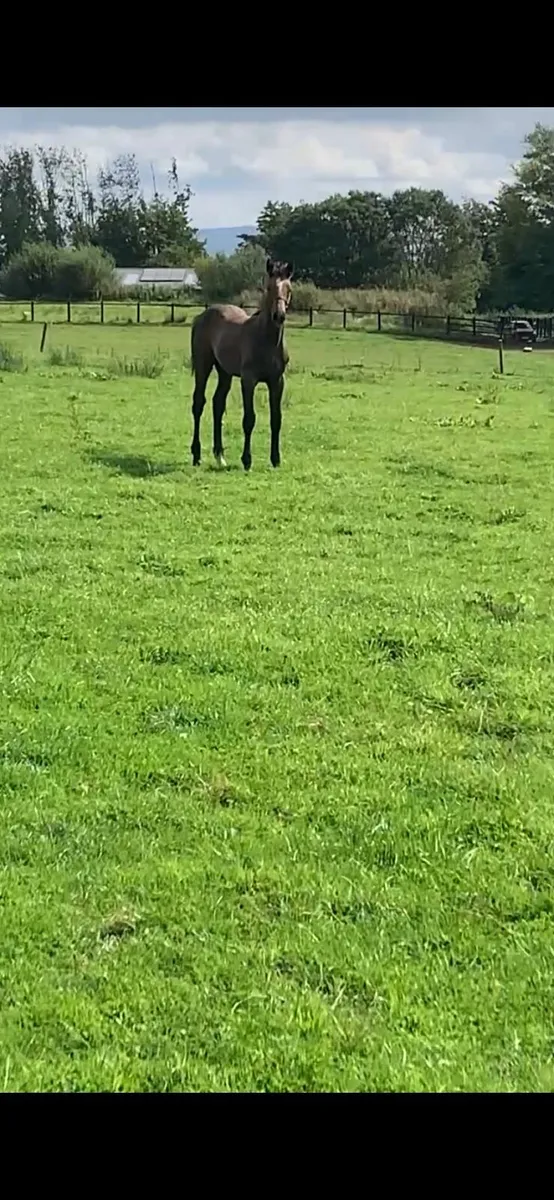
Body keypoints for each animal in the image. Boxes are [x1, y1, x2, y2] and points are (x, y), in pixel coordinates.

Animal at [190, 257, 293, 471]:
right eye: (269, 287)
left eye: (288, 288)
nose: (279, 316)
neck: (267, 340)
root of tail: (202, 316)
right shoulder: (248, 380)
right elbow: (249, 419)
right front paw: (247, 460)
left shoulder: (277, 381)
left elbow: (276, 419)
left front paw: (275, 459)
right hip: (204, 366)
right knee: (198, 403)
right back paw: (196, 455)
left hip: (225, 372)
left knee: (217, 404)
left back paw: (220, 455)